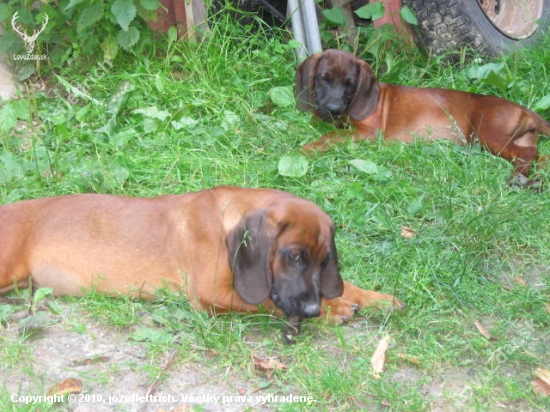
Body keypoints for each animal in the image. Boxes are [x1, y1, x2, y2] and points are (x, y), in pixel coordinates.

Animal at [0, 186, 406, 342]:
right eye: (292, 256)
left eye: (324, 262)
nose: (309, 310)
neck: (227, 220)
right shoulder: (215, 293)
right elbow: (267, 301)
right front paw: (333, 309)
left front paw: (374, 297)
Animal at [298, 48, 550, 188]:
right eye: (323, 78)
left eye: (350, 84)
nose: (333, 109)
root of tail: (526, 110)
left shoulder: (367, 132)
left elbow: (331, 136)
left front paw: (307, 148)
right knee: (540, 156)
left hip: (487, 135)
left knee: (527, 154)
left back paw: (518, 179)